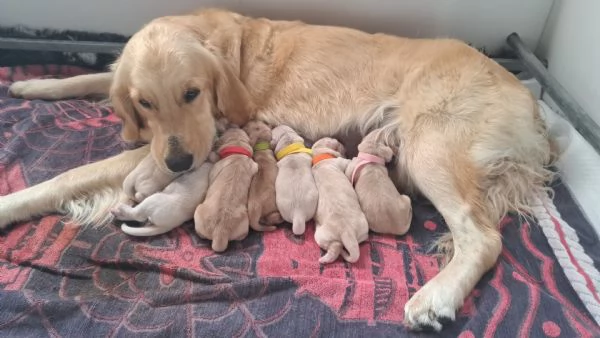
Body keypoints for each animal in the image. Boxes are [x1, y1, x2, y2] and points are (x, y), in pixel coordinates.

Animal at [0, 8, 552, 332]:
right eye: (144, 103)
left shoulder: (204, 135)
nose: (178, 164)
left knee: (483, 237)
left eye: (191, 93)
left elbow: (68, 176)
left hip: (429, 147)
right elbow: (97, 74)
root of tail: (532, 104)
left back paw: (434, 297)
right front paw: (34, 84)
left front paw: (10, 205)